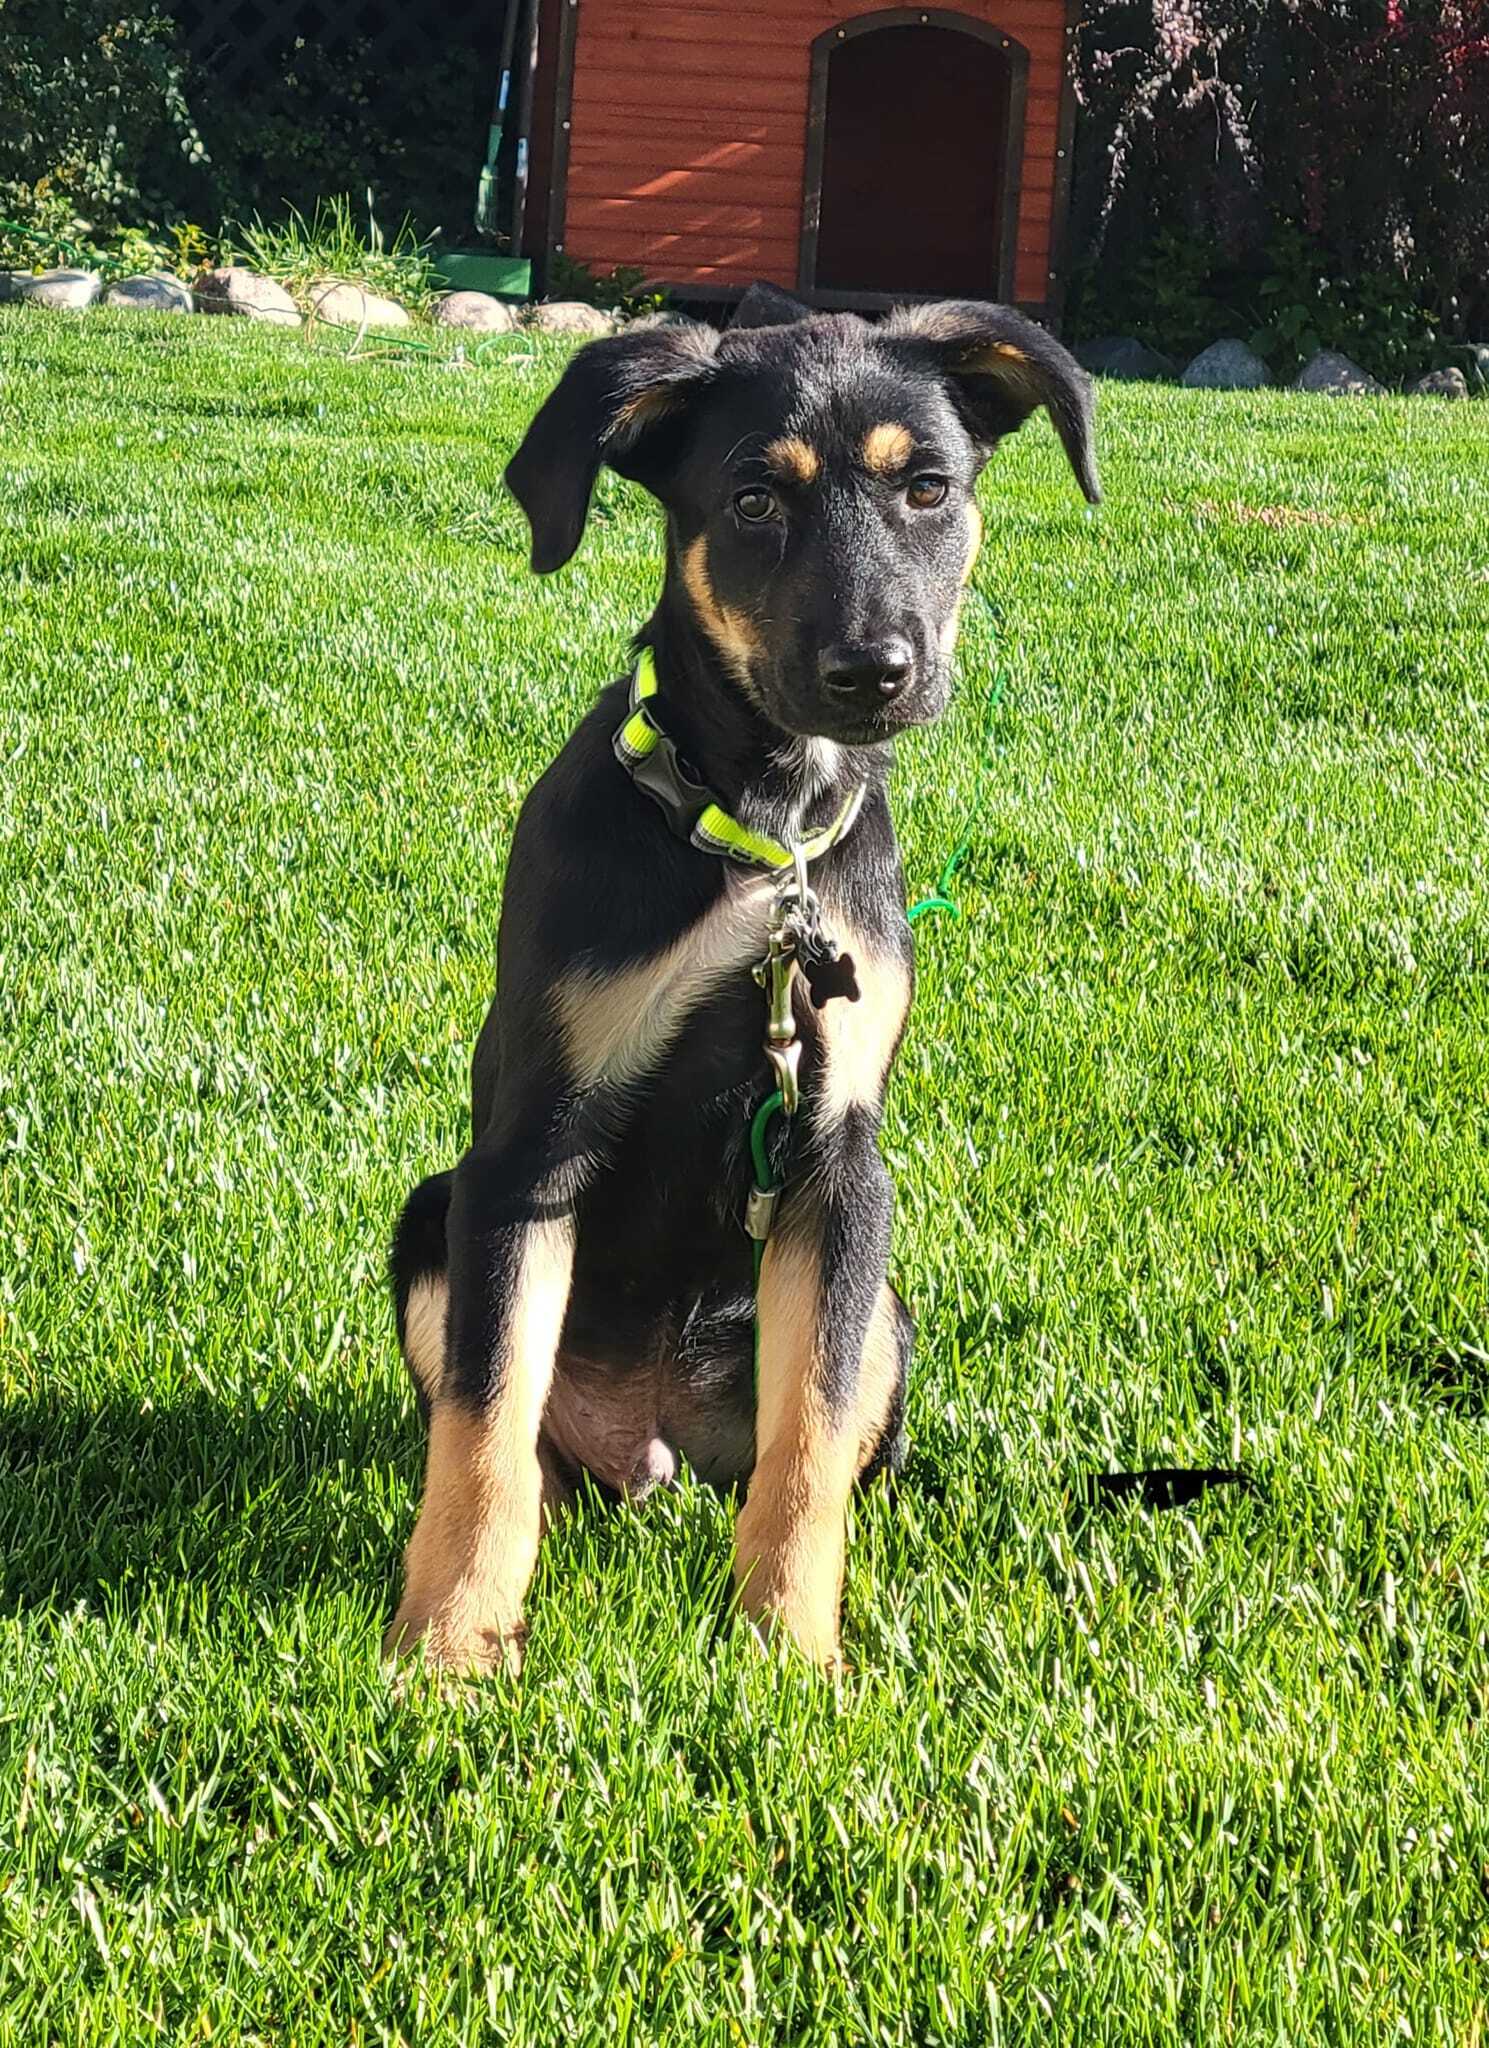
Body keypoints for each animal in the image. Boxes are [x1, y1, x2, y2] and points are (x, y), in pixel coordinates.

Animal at [391, 296, 1097, 1671]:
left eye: (928, 487)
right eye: (754, 499)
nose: (873, 672)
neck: (760, 835)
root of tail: (653, 1443)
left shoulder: (839, 1163)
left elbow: (809, 1442)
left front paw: (791, 1651)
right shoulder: (524, 1160)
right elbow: (484, 1425)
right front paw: (447, 1645)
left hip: (890, 1310)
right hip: (426, 1218)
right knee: (516, 1440)